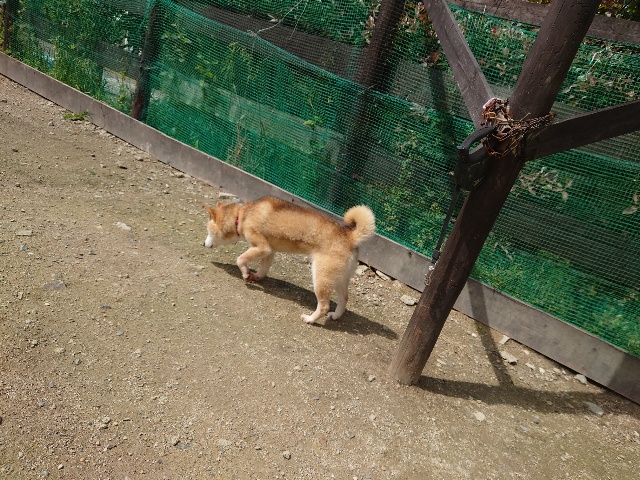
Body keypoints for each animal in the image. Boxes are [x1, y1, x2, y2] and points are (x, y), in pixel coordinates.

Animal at [203, 196, 376, 324]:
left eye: (208, 231)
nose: (203, 244)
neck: (242, 216)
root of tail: (351, 236)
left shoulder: (262, 248)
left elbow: (240, 259)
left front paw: (245, 273)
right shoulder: (269, 251)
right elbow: (263, 269)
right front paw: (256, 277)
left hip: (321, 277)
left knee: (324, 306)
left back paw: (310, 319)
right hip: (339, 278)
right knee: (344, 299)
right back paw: (336, 315)